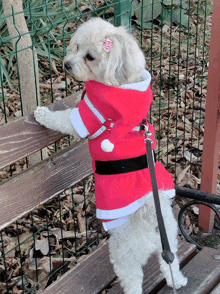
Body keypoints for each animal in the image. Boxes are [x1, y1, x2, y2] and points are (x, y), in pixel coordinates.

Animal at [34, 17, 187, 292]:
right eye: (76, 46)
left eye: (91, 57)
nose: (67, 64)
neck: (123, 83)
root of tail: (151, 221)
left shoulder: (90, 114)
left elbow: (64, 120)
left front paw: (42, 114)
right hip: (169, 239)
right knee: (170, 264)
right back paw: (178, 280)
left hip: (124, 253)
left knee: (133, 279)